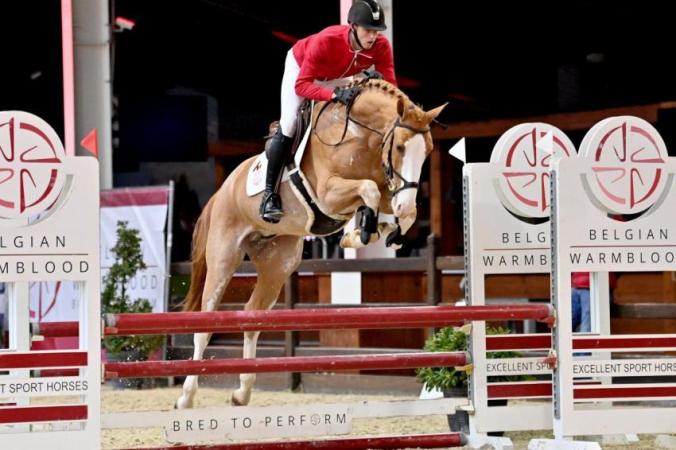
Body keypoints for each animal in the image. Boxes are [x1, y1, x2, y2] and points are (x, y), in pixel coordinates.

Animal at [176, 79, 446, 408]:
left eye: (428, 150)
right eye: (400, 147)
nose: (404, 203)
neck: (361, 136)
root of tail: (223, 190)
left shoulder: (386, 189)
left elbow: (395, 208)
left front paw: (381, 230)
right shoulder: (330, 193)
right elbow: (368, 190)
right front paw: (362, 232)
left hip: (277, 264)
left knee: (252, 315)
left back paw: (242, 392)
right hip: (224, 256)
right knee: (205, 324)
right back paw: (186, 397)